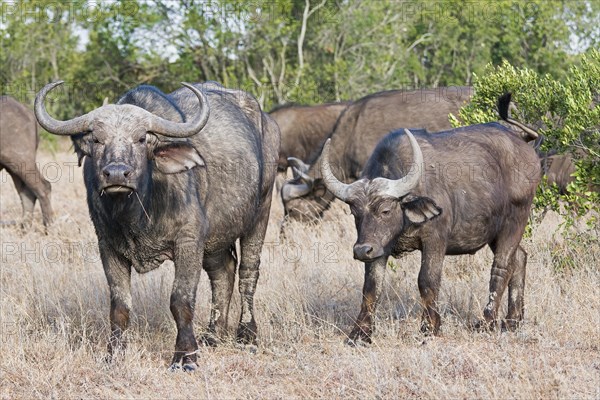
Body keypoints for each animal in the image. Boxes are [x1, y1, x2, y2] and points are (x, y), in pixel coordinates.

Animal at [0, 95, 53, 230]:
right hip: (12, 167)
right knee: (27, 193)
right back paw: (25, 227)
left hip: (20, 160)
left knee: (43, 186)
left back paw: (49, 227)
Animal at [35, 79, 282, 370]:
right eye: (96, 139)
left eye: (142, 139)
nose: (116, 174)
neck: (136, 213)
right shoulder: (108, 246)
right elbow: (119, 306)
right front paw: (113, 355)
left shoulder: (188, 242)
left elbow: (181, 300)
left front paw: (185, 356)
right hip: (215, 238)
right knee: (223, 273)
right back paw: (213, 334)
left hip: (261, 212)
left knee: (247, 273)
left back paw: (247, 335)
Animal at [322, 94, 540, 344]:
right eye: (355, 212)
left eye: (385, 210)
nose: (361, 250)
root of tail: (523, 145)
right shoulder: (379, 247)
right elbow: (371, 287)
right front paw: (360, 332)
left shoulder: (435, 240)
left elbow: (427, 280)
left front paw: (430, 326)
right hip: (495, 232)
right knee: (520, 258)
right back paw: (513, 320)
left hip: (515, 221)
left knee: (502, 267)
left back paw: (486, 322)